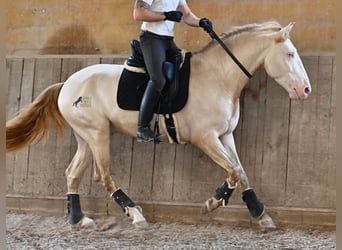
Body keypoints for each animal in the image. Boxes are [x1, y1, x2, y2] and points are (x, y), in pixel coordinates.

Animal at [6, 21, 310, 230]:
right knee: (103, 175)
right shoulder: (206, 138)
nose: (305, 90)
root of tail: (67, 84)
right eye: (290, 54)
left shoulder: (225, 136)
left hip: (86, 137)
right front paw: (213, 202)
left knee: (72, 173)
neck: (218, 76)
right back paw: (135, 214)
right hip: (97, 134)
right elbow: (233, 171)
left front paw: (260, 214)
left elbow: (241, 172)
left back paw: (79, 219)